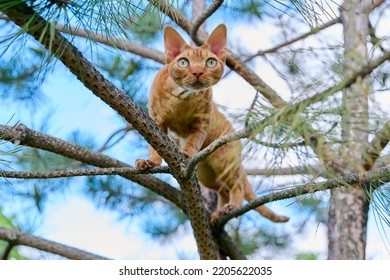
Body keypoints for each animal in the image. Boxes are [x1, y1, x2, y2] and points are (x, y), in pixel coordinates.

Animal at [136, 24, 288, 223]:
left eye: (210, 62)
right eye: (183, 62)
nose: (198, 72)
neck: (182, 99)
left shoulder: (201, 124)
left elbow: (192, 142)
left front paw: (185, 154)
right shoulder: (156, 121)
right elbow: (154, 146)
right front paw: (150, 162)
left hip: (224, 162)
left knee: (237, 186)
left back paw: (232, 207)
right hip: (206, 175)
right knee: (223, 189)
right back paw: (218, 214)